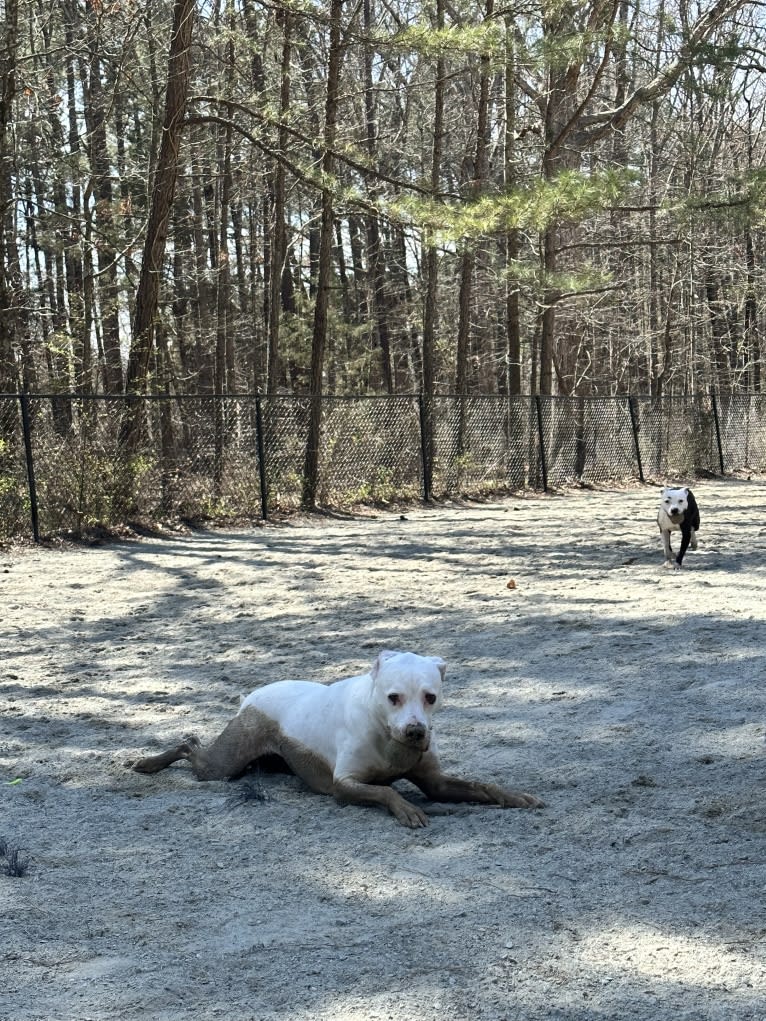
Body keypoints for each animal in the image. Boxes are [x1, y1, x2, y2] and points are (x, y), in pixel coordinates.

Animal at [134, 649, 543, 824]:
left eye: (431, 697)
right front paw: (406, 809)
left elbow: (483, 786)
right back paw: (147, 764)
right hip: (223, 763)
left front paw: (514, 796)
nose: (415, 731)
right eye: (393, 697)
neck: (387, 737)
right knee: (189, 744)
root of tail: (250, 696)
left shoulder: (437, 783)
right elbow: (386, 791)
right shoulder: (343, 785)